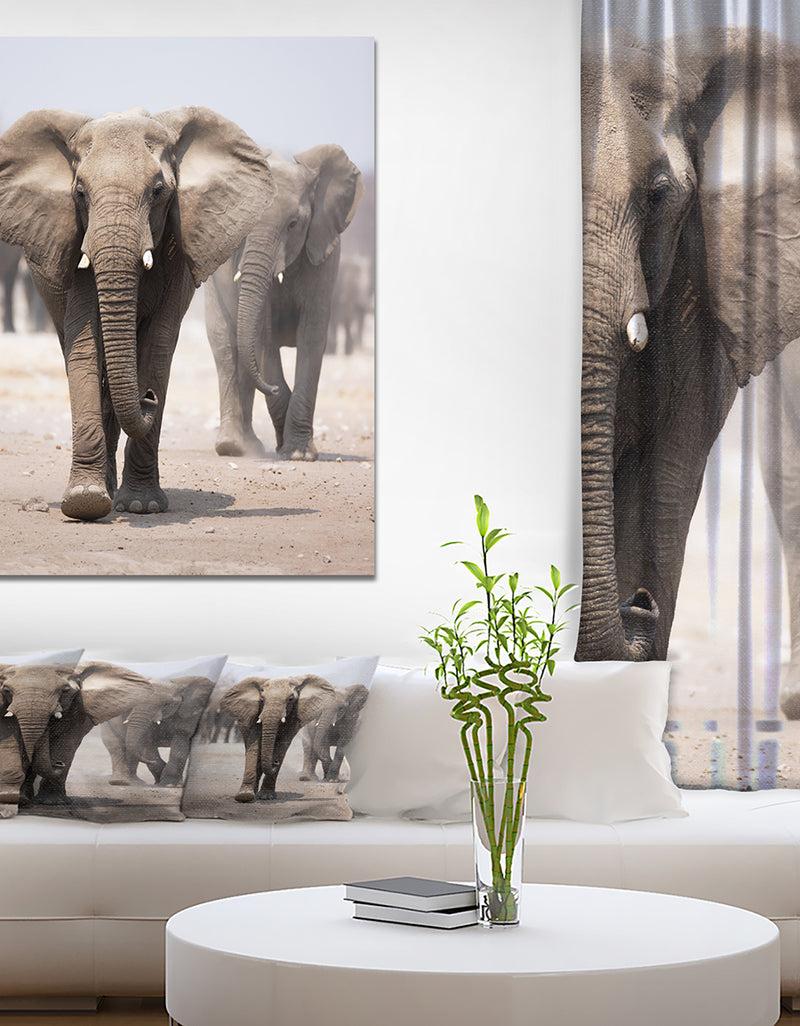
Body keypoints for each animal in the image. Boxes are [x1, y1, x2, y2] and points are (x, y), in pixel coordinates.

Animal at [0, 107, 273, 521]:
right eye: (80, 193)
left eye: (158, 191)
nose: (147, 397)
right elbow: (85, 344)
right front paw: (85, 502)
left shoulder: (179, 246)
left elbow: (158, 346)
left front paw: (142, 506)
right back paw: (105, 488)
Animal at [0, 661, 181, 810]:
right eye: (7, 691)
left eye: (65, 691)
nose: (58, 764)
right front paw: (23, 799)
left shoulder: (79, 706)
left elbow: (66, 742)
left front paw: (52, 802)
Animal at [205, 144, 363, 460]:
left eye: (293, 224)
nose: (273, 389)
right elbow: (262, 338)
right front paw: (287, 446)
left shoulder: (324, 255)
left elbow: (312, 335)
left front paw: (299, 454)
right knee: (227, 349)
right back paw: (233, 447)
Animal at [220, 674, 341, 802]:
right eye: (261, 699)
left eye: (291, 699)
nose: (275, 762)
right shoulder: (255, 713)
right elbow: (254, 745)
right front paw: (245, 796)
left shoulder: (294, 716)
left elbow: (282, 745)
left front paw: (266, 796)